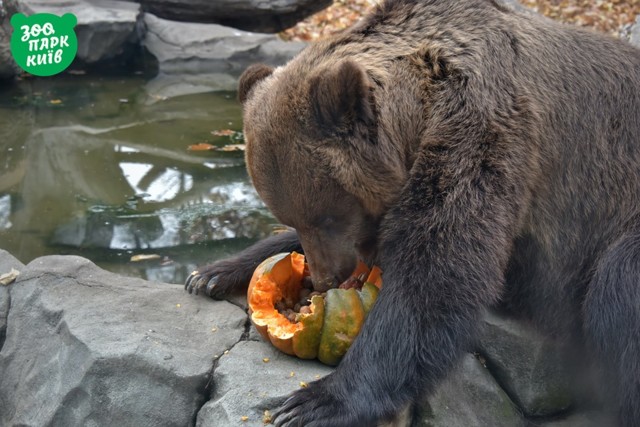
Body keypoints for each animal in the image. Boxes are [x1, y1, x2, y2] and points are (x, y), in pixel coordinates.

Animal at [185, 0, 640, 424]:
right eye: (291, 215)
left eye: (328, 215)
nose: (324, 279)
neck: (418, 115)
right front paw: (212, 272)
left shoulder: (485, 127)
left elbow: (438, 265)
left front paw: (316, 401)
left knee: (617, 287)